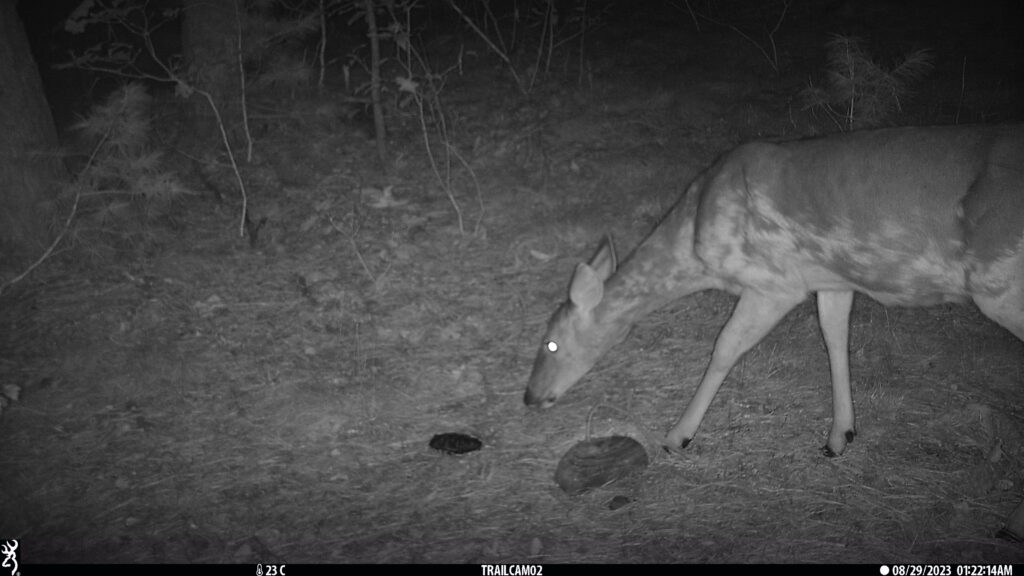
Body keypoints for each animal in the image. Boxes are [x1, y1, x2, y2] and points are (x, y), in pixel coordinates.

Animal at [524, 123, 1024, 537]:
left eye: (550, 342)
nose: (530, 397)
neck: (695, 240)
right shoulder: (831, 278)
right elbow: (834, 336)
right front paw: (840, 435)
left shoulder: (774, 281)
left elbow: (725, 346)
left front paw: (677, 436)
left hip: (1000, 285)